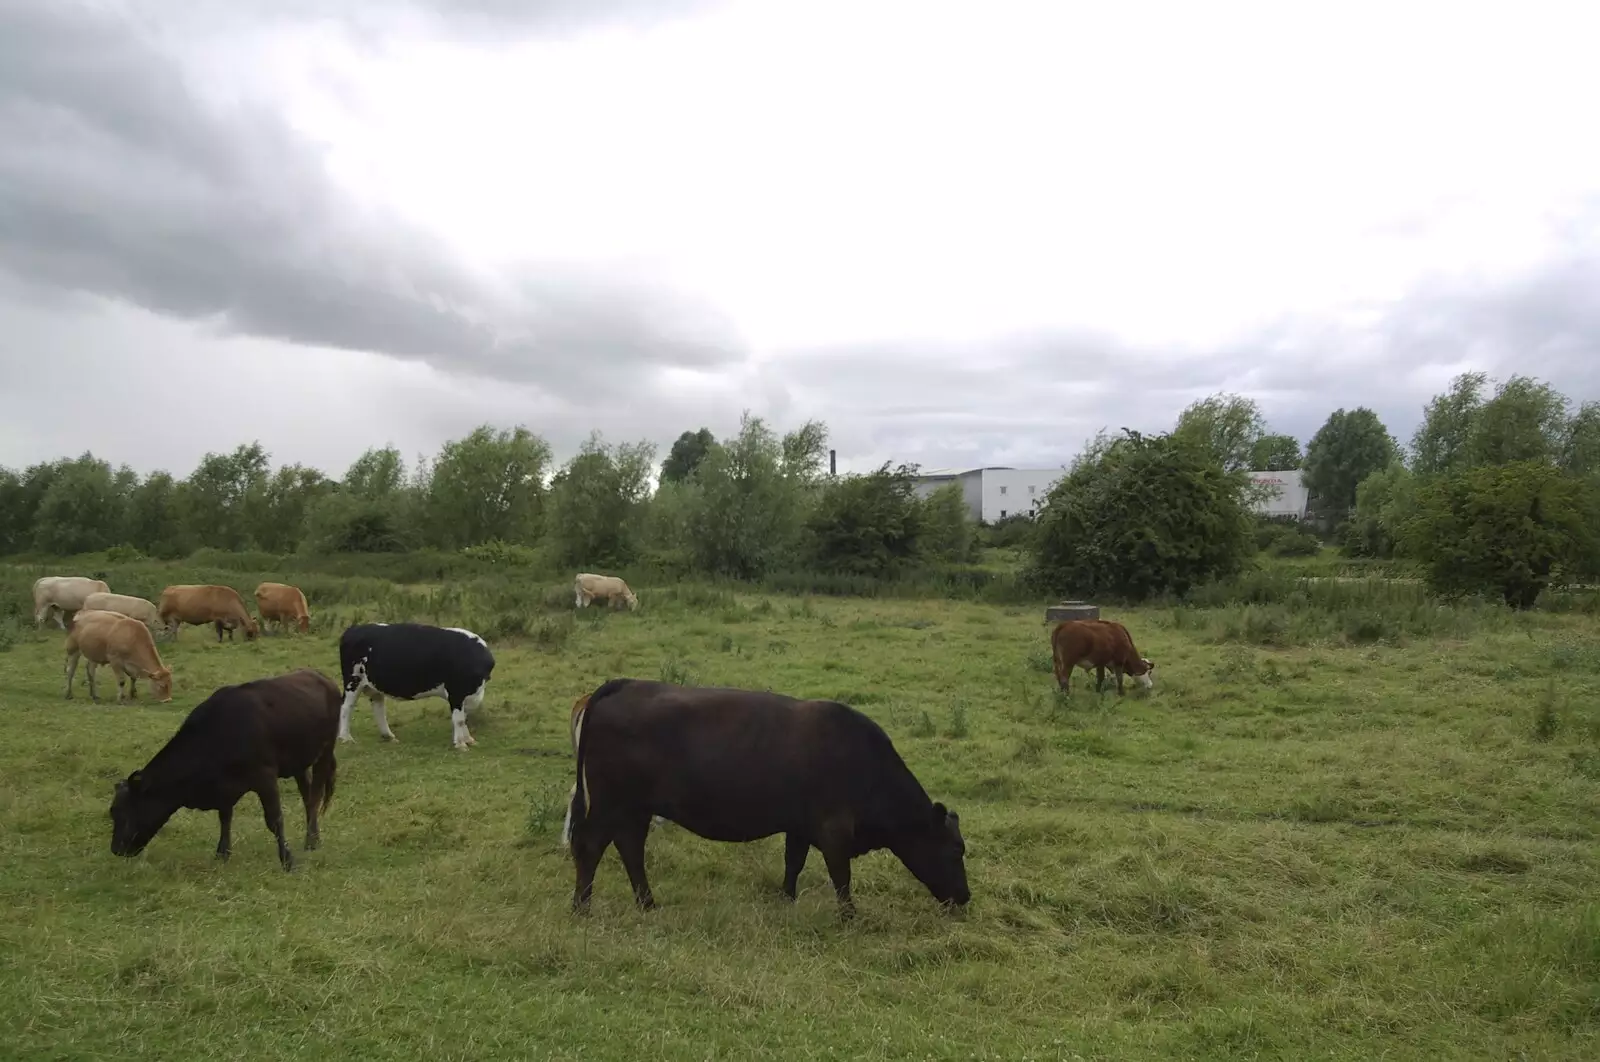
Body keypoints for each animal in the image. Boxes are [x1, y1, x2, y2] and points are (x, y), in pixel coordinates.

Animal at [108, 668, 344, 876]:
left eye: (125, 813)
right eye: (113, 813)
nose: (116, 850)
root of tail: (322, 677)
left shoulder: (265, 776)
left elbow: (274, 819)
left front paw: (287, 860)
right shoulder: (224, 787)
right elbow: (225, 817)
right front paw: (222, 853)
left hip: (325, 752)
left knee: (315, 796)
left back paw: (311, 841)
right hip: (299, 763)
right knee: (307, 795)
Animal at [332, 617, 492, 751]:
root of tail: (354, 629)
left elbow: (463, 717)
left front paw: (469, 739)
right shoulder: (456, 693)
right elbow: (459, 719)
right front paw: (460, 744)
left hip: (374, 684)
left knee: (378, 707)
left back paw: (388, 736)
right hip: (353, 680)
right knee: (346, 706)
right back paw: (346, 738)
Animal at [563, 681, 966, 921]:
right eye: (954, 850)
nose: (965, 897)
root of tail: (626, 684)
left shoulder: (800, 826)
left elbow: (794, 863)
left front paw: (786, 898)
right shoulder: (834, 831)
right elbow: (841, 877)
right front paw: (850, 916)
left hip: (636, 808)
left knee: (630, 846)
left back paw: (647, 903)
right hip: (610, 802)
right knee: (590, 845)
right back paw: (582, 908)